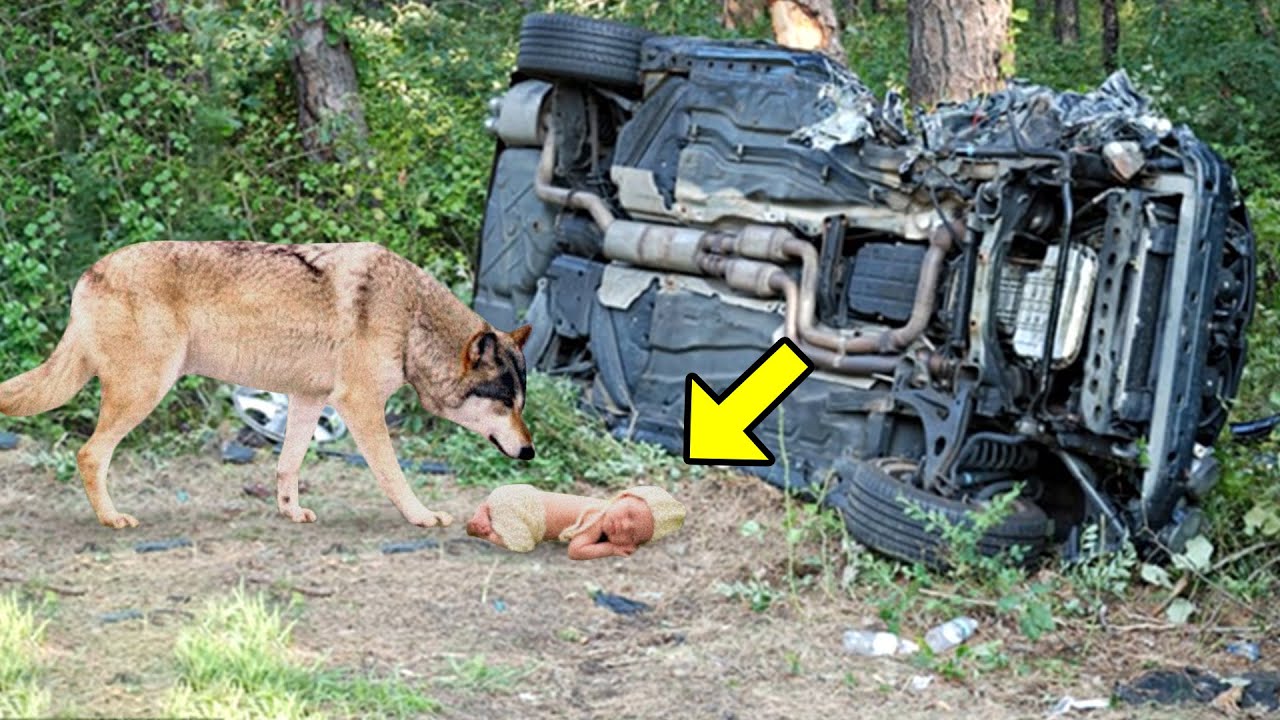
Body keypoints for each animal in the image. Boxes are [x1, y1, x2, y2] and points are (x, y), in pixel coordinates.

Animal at [0, 241, 535, 529]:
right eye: (505, 403)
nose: (530, 452)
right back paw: (112, 519)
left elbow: (287, 465)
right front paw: (422, 517)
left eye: (520, 403)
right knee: (90, 454)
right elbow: (393, 474)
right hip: (144, 392)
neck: (410, 319)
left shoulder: (308, 398)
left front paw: (290, 512)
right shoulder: (360, 406)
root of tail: (90, 272)